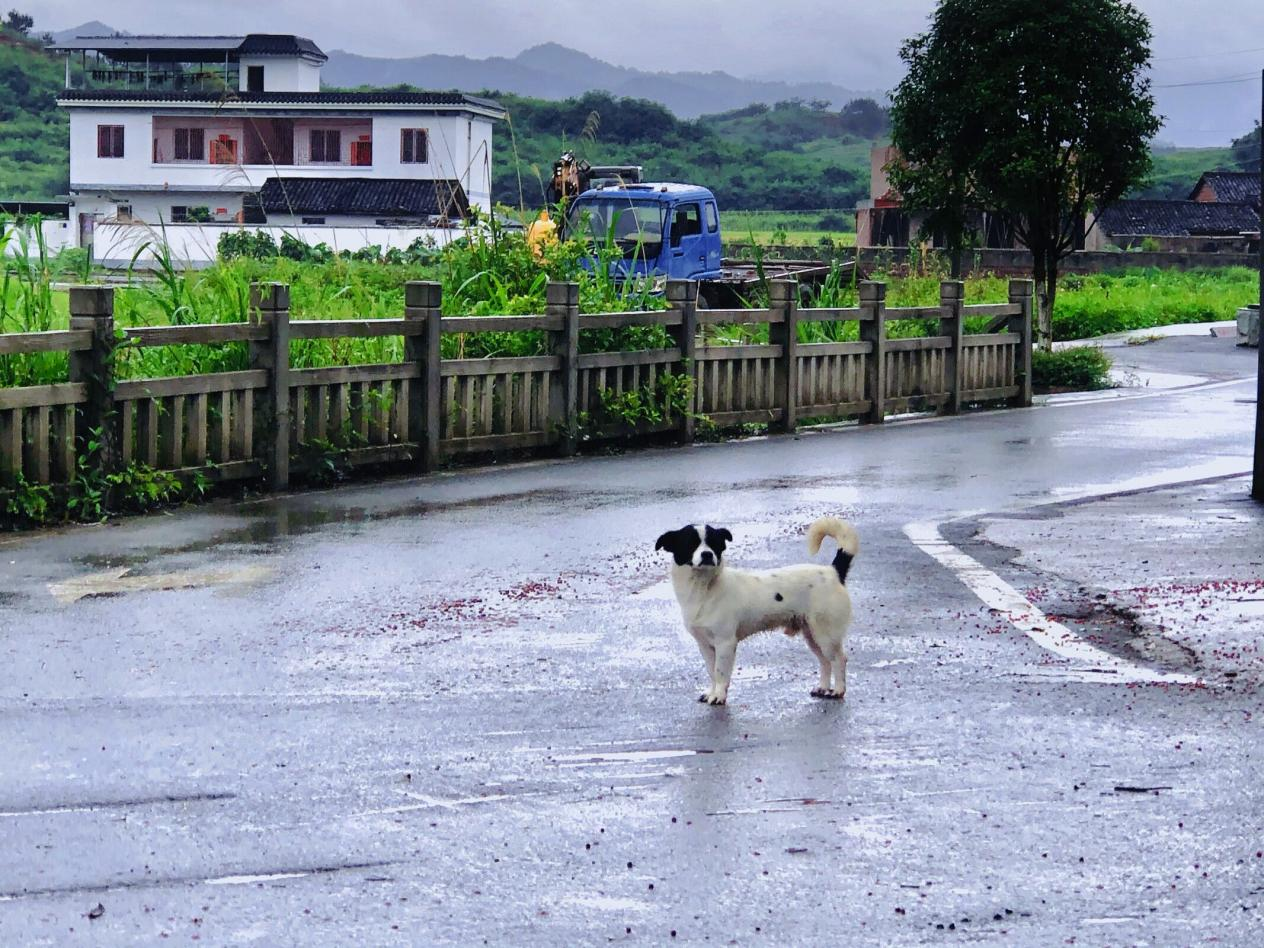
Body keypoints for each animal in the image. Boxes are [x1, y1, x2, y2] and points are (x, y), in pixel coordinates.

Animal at [652, 520, 859, 707]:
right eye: (690, 542)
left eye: (714, 543)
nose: (707, 554)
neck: (706, 589)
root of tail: (832, 572)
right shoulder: (705, 645)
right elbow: (711, 671)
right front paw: (712, 692)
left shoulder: (725, 643)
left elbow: (720, 672)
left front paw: (718, 696)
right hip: (812, 634)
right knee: (825, 661)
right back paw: (823, 687)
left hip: (826, 635)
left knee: (839, 660)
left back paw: (838, 690)